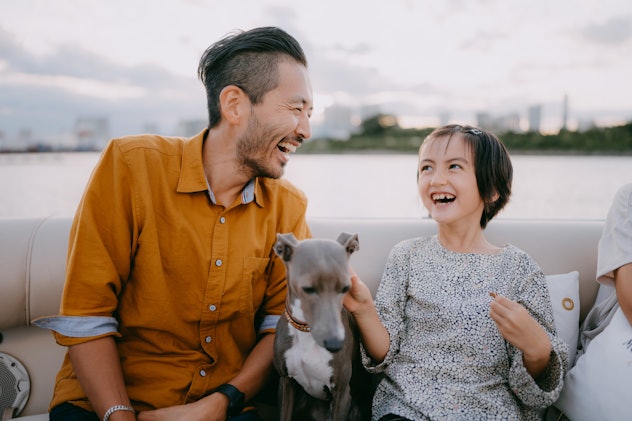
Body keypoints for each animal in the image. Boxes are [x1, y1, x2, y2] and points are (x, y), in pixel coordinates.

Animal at [272, 231, 370, 420]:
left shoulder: (342, 394)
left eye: (346, 287)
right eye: (308, 288)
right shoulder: (286, 383)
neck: (306, 332)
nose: (335, 344)